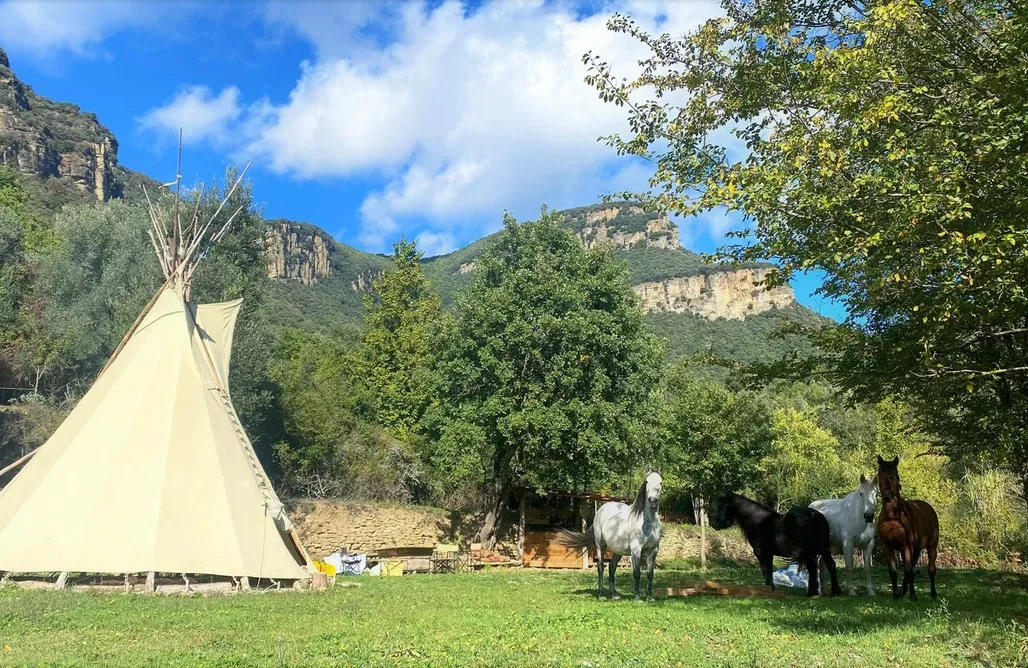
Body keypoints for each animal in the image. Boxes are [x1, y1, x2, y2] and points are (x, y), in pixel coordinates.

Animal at [559, 468, 662, 600]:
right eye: (647, 481)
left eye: (661, 482)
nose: (652, 500)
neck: (646, 524)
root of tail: (600, 510)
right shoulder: (636, 550)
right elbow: (637, 573)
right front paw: (637, 598)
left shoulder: (653, 551)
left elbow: (650, 574)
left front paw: (650, 598)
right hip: (600, 545)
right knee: (601, 567)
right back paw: (601, 594)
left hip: (618, 551)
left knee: (612, 567)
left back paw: (614, 594)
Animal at [707, 491, 842, 596]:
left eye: (725, 505)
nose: (714, 524)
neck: (759, 522)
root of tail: (816, 515)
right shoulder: (769, 553)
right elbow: (769, 570)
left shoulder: (761, 553)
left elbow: (766, 570)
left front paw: (768, 589)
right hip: (822, 549)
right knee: (825, 566)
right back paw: (825, 592)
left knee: (816, 567)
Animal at [875, 452, 941, 600]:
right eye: (880, 472)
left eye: (894, 473)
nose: (887, 495)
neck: (892, 517)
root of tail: (928, 507)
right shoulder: (887, 547)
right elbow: (894, 571)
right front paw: (896, 594)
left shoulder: (906, 546)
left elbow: (908, 570)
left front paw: (913, 596)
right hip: (915, 549)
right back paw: (902, 591)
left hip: (931, 546)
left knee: (930, 568)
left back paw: (933, 593)